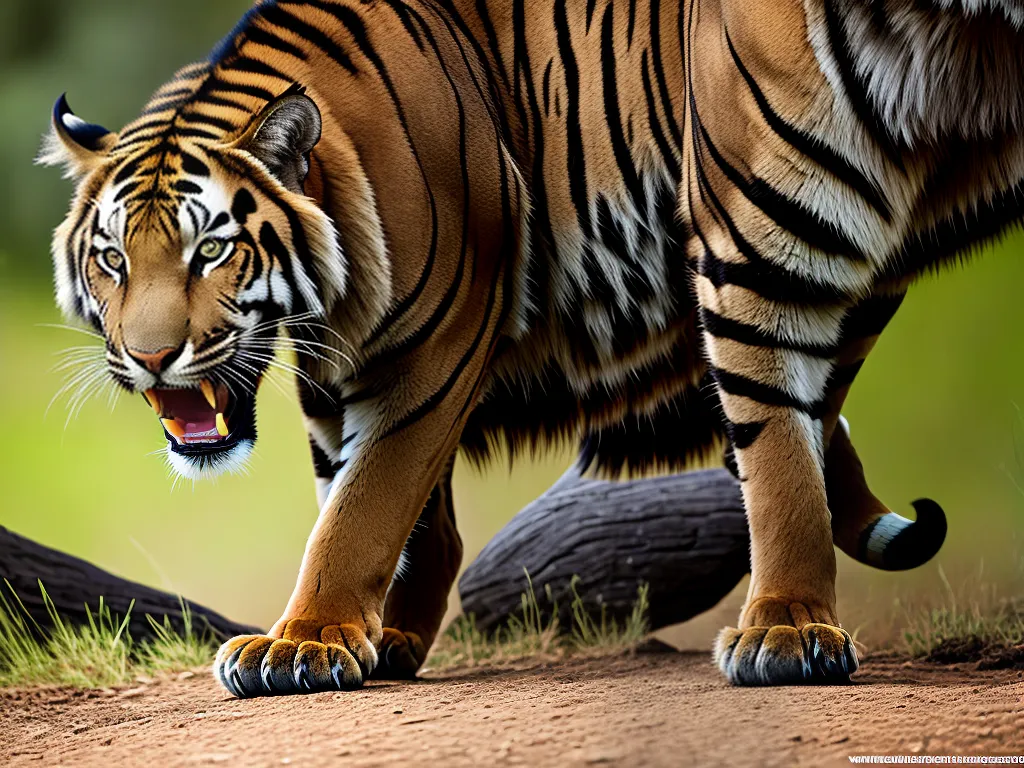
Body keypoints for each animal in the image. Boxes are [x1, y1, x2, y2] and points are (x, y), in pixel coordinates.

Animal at [40, 0, 1021, 696]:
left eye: (210, 250)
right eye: (112, 258)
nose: (151, 357)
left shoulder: (435, 349)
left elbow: (363, 506)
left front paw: (305, 641)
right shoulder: (337, 372)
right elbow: (381, 506)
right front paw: (382, 636)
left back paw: (785, 629)